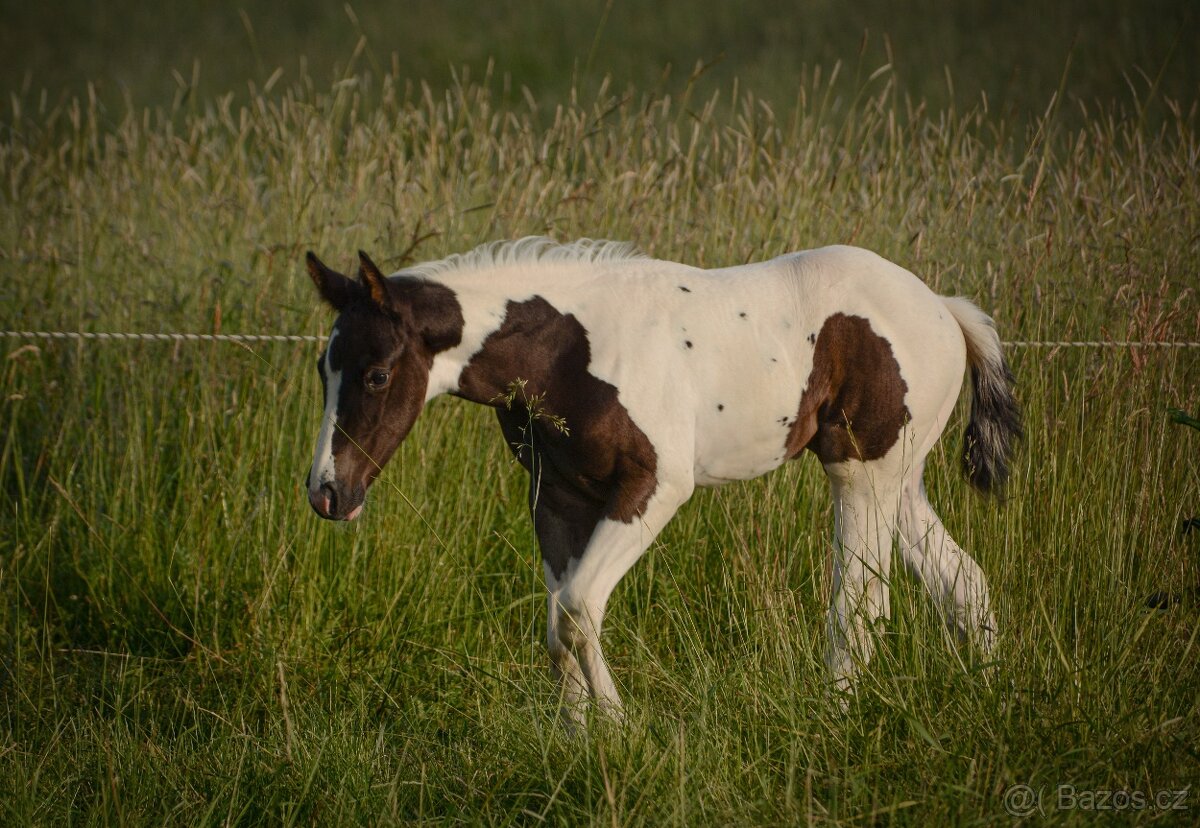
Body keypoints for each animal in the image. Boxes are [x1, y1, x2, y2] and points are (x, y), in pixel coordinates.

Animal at [304, 237, 1021, 725]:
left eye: (376, 374)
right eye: (323, 369)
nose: (327, 493)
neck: (569, 351)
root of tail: (944, 308)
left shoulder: (654, 488)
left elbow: (576, 610)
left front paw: (619, 730)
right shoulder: (556, 496)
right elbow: (559, 623)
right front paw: (577, 739)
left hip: (861, 471)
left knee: (861, 604)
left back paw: (835, 717)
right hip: (901, 478)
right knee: (965, 582)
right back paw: (985, 698)